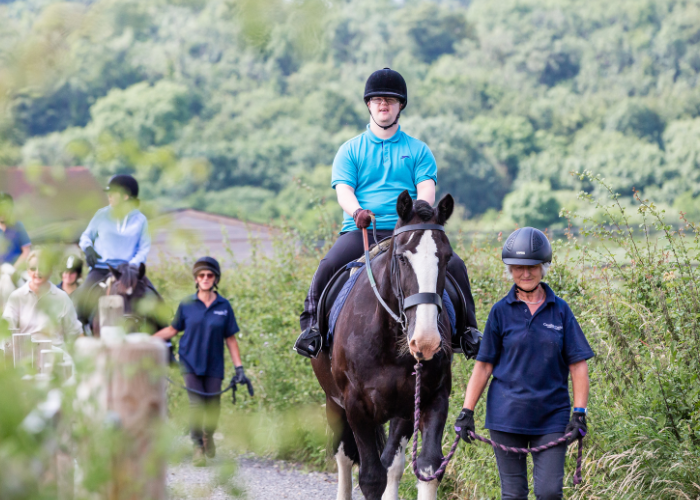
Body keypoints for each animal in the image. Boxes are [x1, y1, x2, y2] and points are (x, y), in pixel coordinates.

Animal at [314, 191, 456, 500]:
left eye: (447, 258)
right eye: (402, 257)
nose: (426, 340)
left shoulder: (432, 397)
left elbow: (427, 469)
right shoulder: (356, 406)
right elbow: (370, 478)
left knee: (392, 462)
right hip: (334, 402)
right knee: (343, 456)